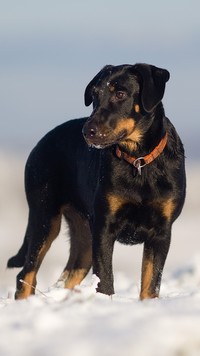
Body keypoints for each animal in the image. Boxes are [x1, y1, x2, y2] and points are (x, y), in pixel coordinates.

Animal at [7, 62, 186, 298]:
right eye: (94, 95)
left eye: (120, 94)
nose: (87, 131)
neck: (138, 161)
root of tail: (40, 144)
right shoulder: (104, 226)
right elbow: (105, 280)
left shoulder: (161, 231)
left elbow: (151, 284)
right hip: (45, 216)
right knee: (26, 274)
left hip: (83, 235)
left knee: (69, 277)